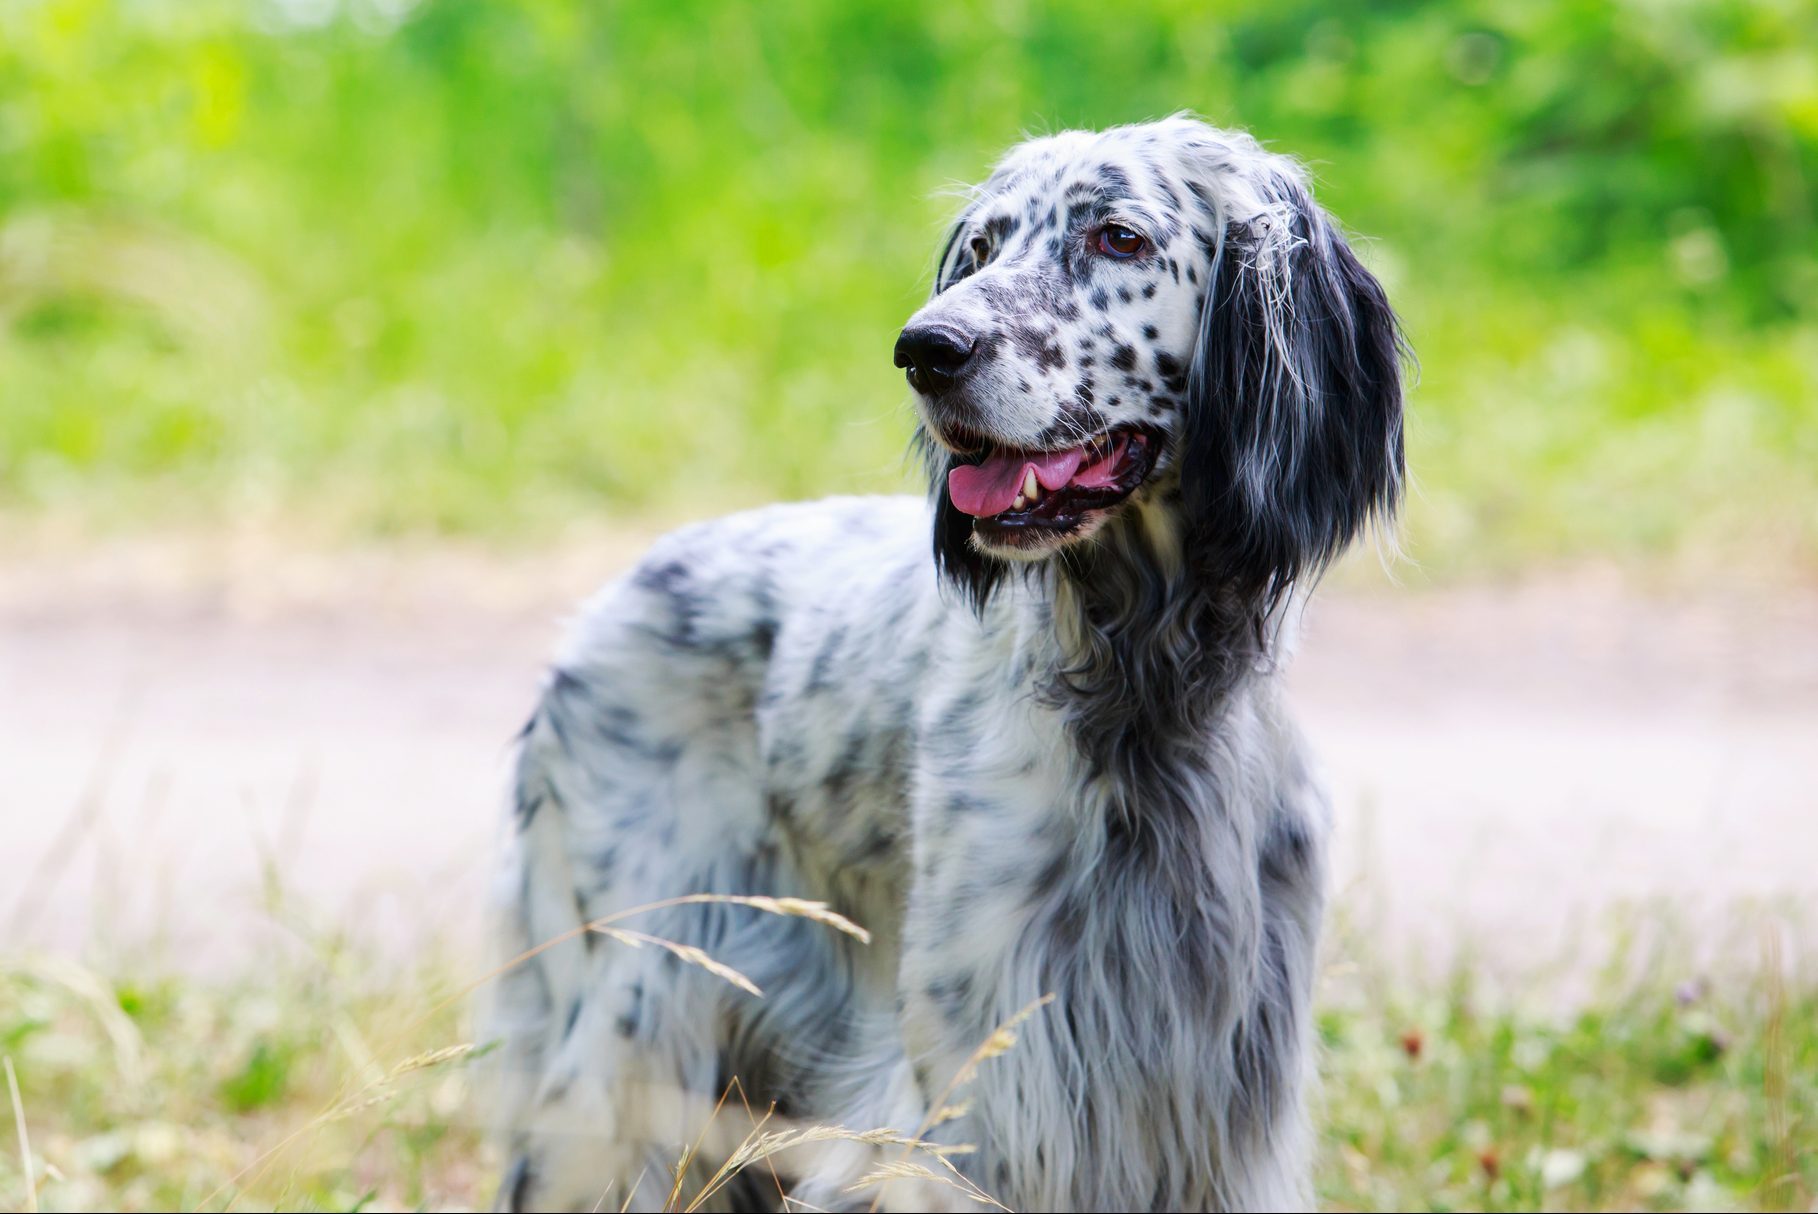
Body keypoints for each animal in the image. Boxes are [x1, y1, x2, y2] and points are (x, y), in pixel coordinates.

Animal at [487, 116, 1403, 1214]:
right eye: (981, 247)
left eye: (1120, 238)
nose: (924, 348)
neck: (1138, 694)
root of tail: (598, 609)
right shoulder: (979, 1101)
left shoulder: (1223, 1117)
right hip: (619, 1049)